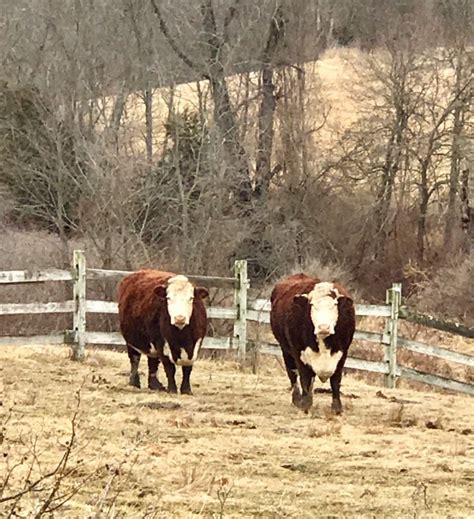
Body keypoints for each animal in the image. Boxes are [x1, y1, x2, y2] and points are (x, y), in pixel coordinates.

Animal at [270, 274, 356, 416]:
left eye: (334, 305)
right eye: (312, 305)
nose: (324, 327)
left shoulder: (342, 354)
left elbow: (335, 381)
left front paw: (337, 408)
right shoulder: (299, 353)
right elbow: (304, 378)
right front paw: (305, 406)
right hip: (285, 350)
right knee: (293, 374)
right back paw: (297, 399)